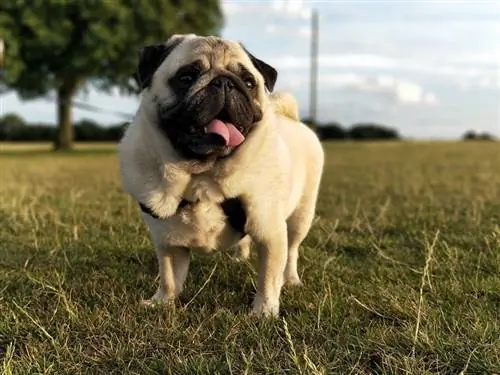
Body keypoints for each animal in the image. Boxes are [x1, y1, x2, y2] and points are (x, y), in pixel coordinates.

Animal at [119, 34, 326, 318]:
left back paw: (291, 279)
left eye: (248, 82)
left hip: (300, 216)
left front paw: (264, 311)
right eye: (186, 77)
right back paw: (240, 257)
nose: (225, 82)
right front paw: (163, 301)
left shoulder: (271, 233)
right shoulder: (167, 242)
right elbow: (169, 277)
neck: (202, 177)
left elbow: (268, 277)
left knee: (292, 251)